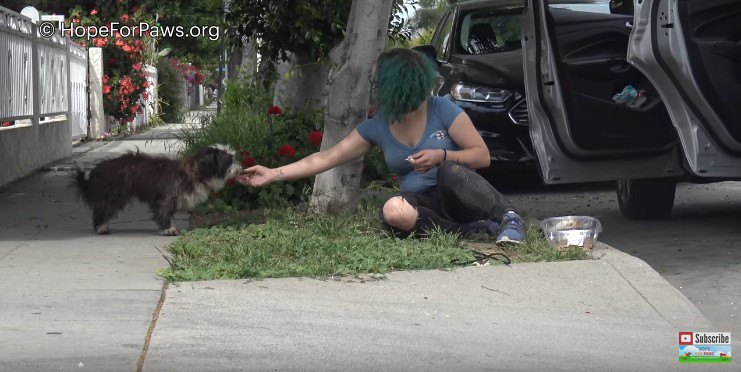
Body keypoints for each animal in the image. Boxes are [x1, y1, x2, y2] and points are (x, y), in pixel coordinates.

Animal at [72, 145, 241, 235]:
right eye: (229, 160)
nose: (241, 166)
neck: (195, 171)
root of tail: (99, 168)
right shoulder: (167, 197)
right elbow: (164, 212)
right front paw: (167, 229)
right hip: (114, 194)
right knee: (102, 208)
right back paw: (101, 227)